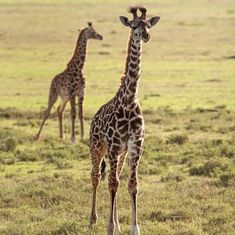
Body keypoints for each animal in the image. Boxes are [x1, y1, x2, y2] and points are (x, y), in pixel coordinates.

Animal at [89, 5, 161, 235]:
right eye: (133, 25)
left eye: (148, 25)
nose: (146, 36)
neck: (129, 100)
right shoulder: (112, 146)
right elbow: (112, 184)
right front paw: (109, 227)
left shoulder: (135, 145)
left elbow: (131, 185)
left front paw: (133, 227)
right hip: (97, 147)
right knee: (96, 177)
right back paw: (92, 220)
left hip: (120, 154)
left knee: (117, 178)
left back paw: (117, 222)